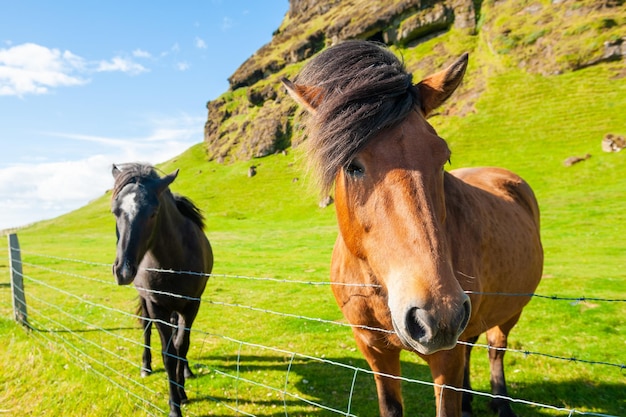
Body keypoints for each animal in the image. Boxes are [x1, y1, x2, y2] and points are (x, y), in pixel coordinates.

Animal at [109, 162, 212, 416]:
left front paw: (182, 391)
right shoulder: (157, 306)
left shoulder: (192, 304)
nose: (123, 270)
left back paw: (186, 371)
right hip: (148, 302)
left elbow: (181, 346)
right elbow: (168, 355)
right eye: (115, 211)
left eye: (153, 212)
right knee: (146, 328)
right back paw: (146, 366)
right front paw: (174, 405)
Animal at [282, 39, 540, 416]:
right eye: (352, 165)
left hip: (508, 311)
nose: (437, 314)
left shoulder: (445, 358)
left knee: (496, 348)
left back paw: (501, 403)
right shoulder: (374, 351)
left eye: (443, 156)